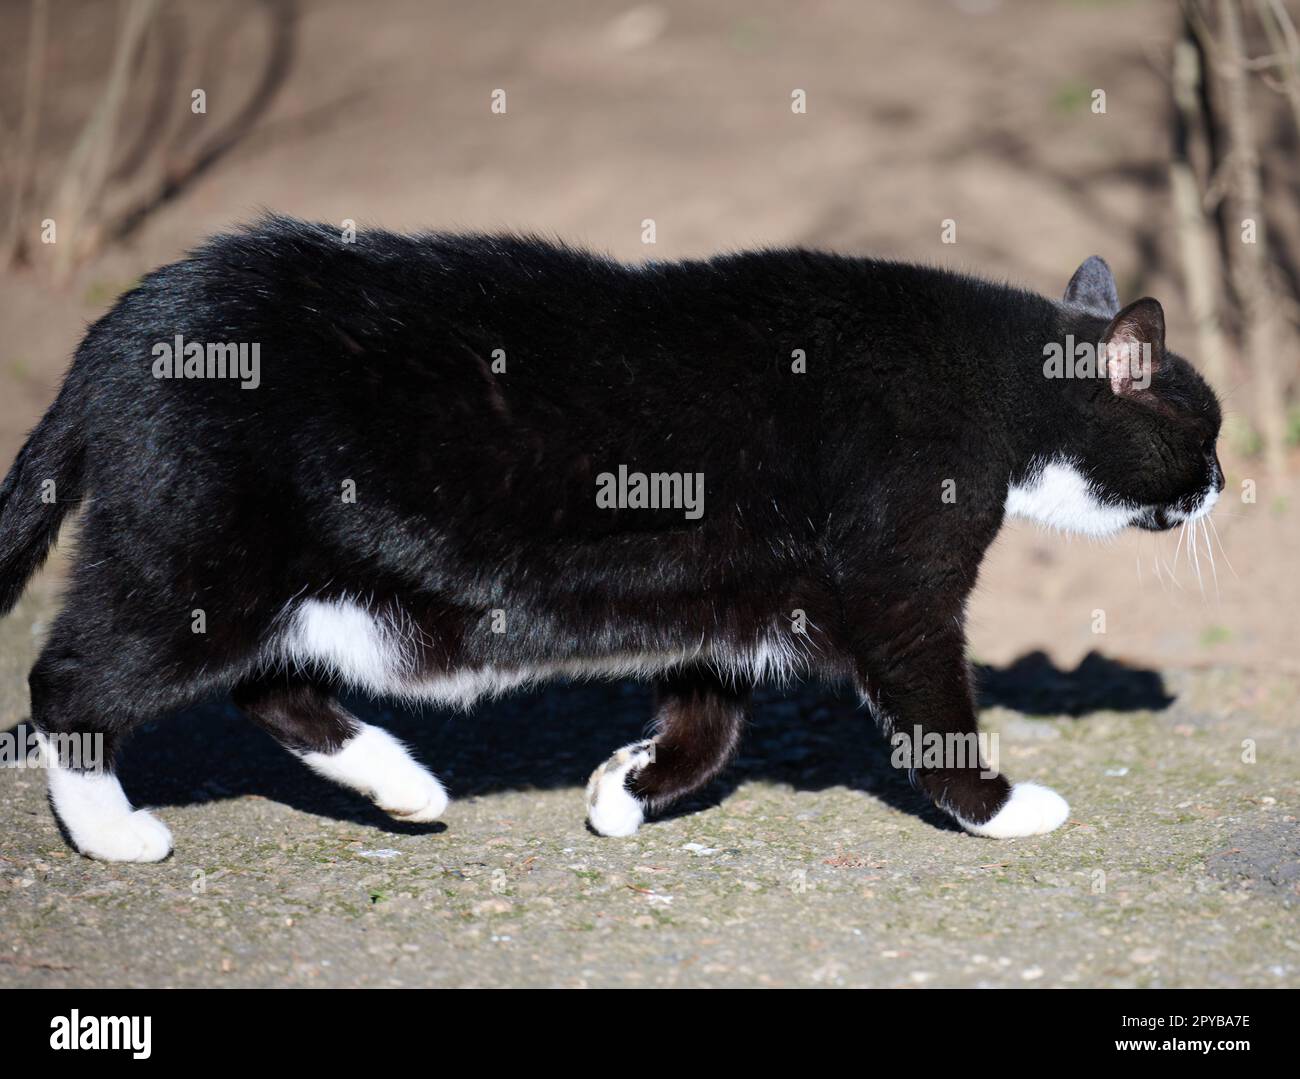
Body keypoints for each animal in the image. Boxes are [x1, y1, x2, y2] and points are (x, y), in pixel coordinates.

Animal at [0, 219, 1216, 863]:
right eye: (1199, 430)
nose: (1218, 483)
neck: (999, 395)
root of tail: (124, 326)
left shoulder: (735, 598)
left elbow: (708, 725)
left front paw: (627, 785)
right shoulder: (898, 590)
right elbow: (932, 716)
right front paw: (1002, 809)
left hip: (305, 585)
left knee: (269, 684)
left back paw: (401, 782)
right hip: (203, 562)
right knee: (70, 677)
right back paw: (112, 830)